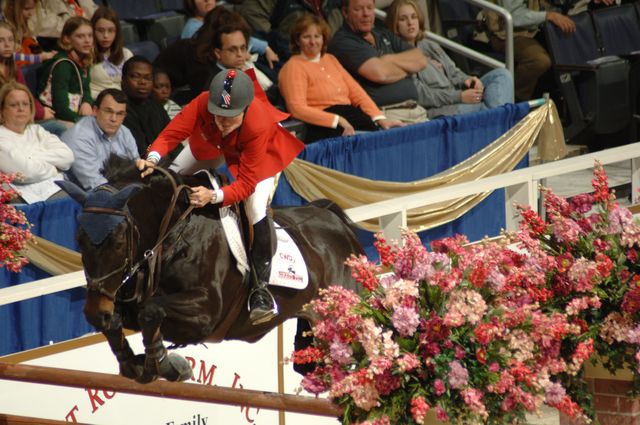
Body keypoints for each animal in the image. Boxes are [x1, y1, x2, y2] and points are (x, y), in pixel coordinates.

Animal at [59, 157, 362, 382]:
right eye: (78, 240)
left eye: (119, 241)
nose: (94, 309)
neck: (173, 233)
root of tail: (335, 220)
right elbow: (120, 320)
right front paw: (133, 363)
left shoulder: (205, 313)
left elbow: (151, 311)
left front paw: (166, 365)